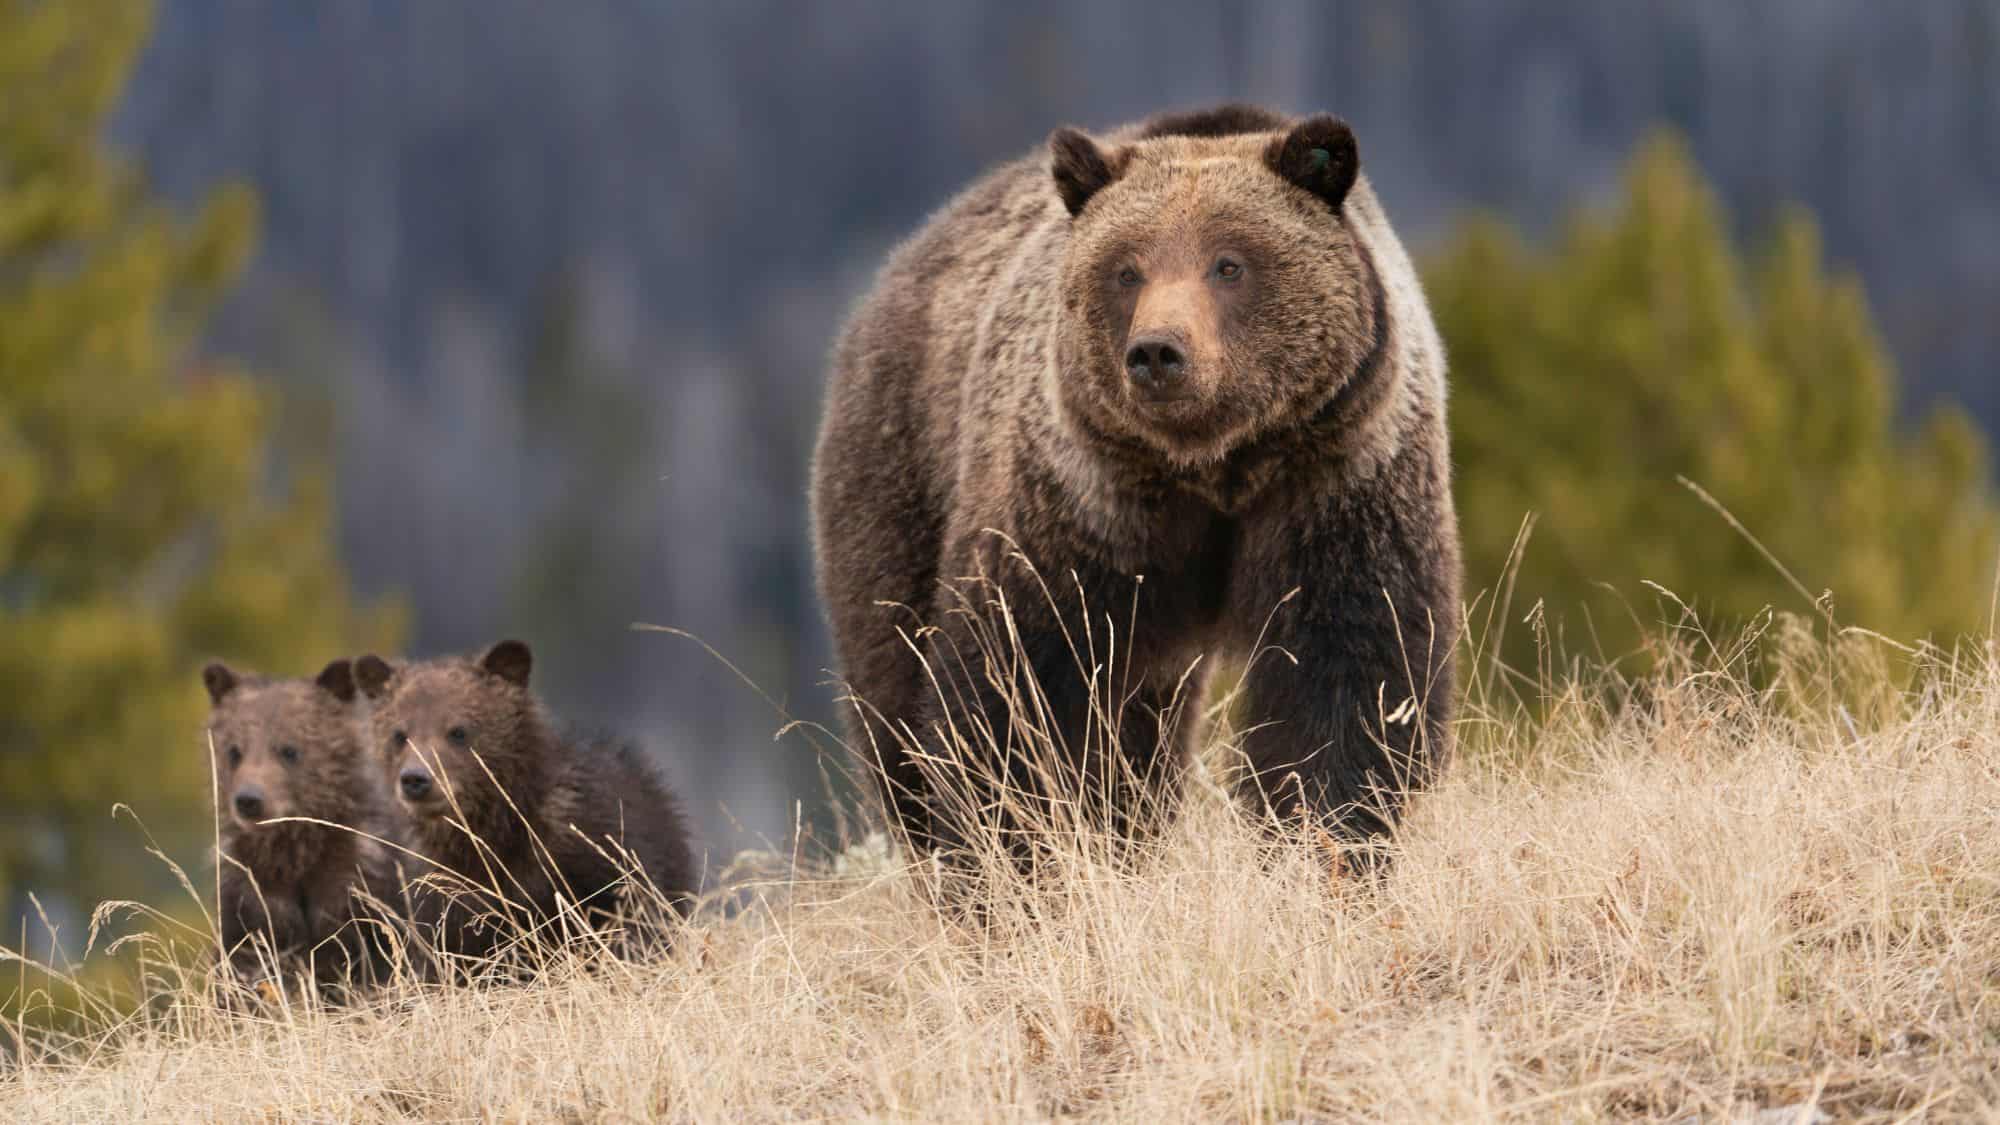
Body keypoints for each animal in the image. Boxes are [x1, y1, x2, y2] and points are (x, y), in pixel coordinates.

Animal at [201, 658, 397, 992]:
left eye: (290, 750)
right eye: (234, 751)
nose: (249, 800)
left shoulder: (360, 887)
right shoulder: (249, 898)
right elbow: (240, 963)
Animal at [351, 640, 695, 974]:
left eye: (459, 731)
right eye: (399, 734)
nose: (415, 779)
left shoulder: (598, 852)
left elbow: (628, 915)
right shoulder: (445, 895)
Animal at [811, 104, 1460, 857]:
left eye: (1229, 263)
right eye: (1126, 270)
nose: (1157, 352)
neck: (1215, 470)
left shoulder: (1337, 480)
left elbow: (1348, 676)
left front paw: (1324, 835)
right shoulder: (1082, 505)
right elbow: (1019, 683)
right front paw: (1021, 847)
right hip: (898, 469)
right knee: (894, 678)